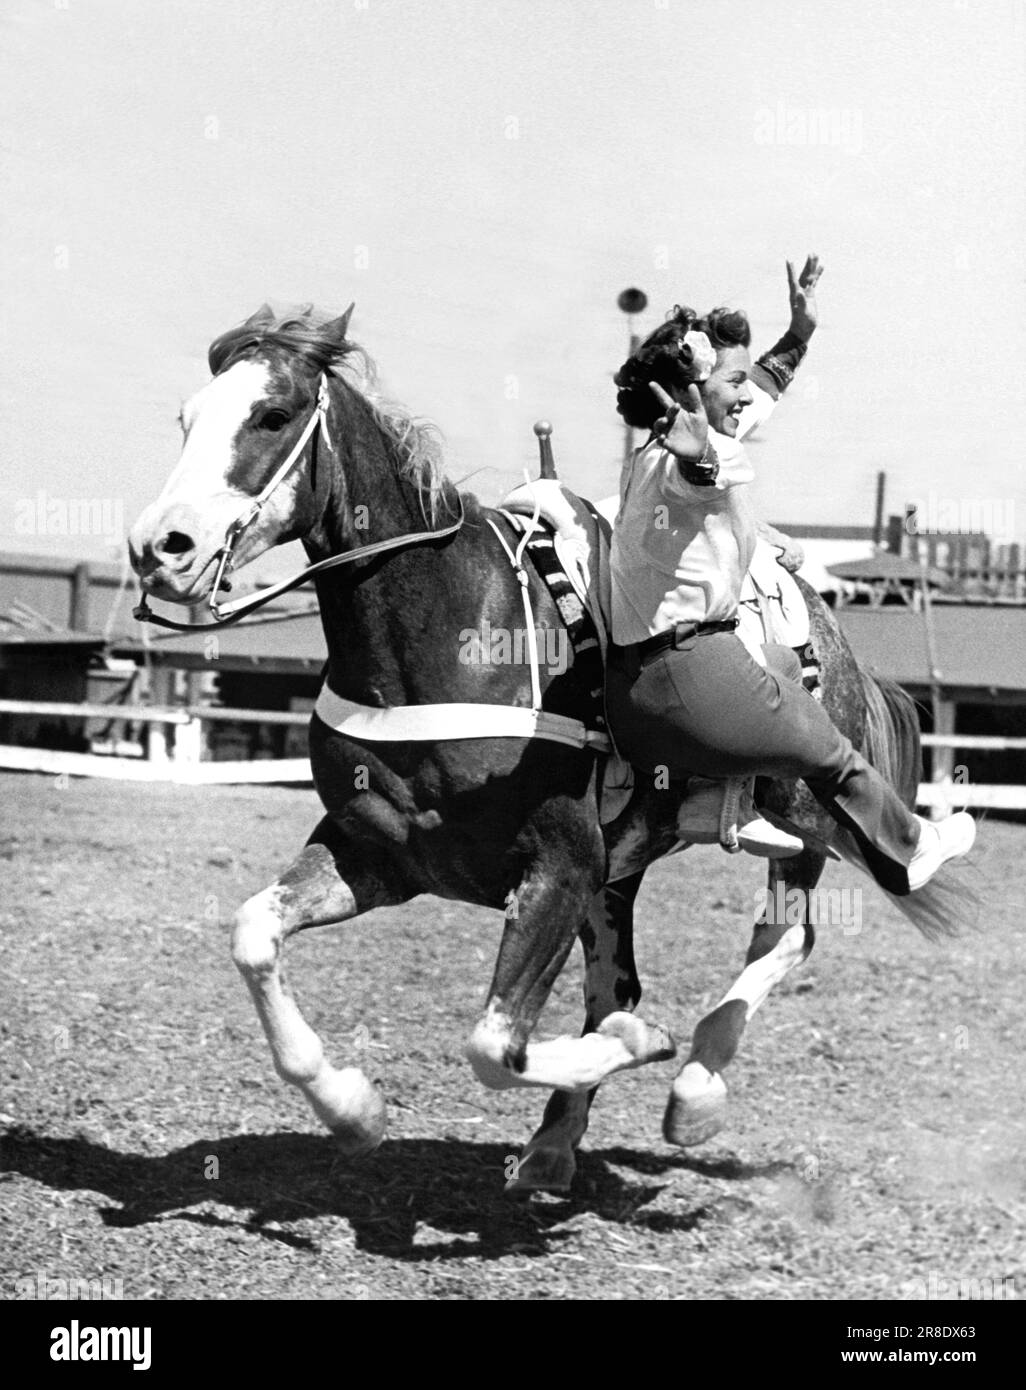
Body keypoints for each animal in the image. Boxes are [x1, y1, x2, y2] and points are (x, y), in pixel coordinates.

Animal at [125, 304, 956, 1195]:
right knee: (621, 980)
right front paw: (353, 1109)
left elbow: (495, 1043)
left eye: (273, 415)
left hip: (801, 812)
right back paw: (557, 1143)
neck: (447, 637)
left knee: (786, 937)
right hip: (617, 869)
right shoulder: (377, 856)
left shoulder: (556, 867)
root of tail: (827, 623)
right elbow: (255, 934)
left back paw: (696, 1088)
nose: (160, 545)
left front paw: (640, 1046)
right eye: (186, 418)